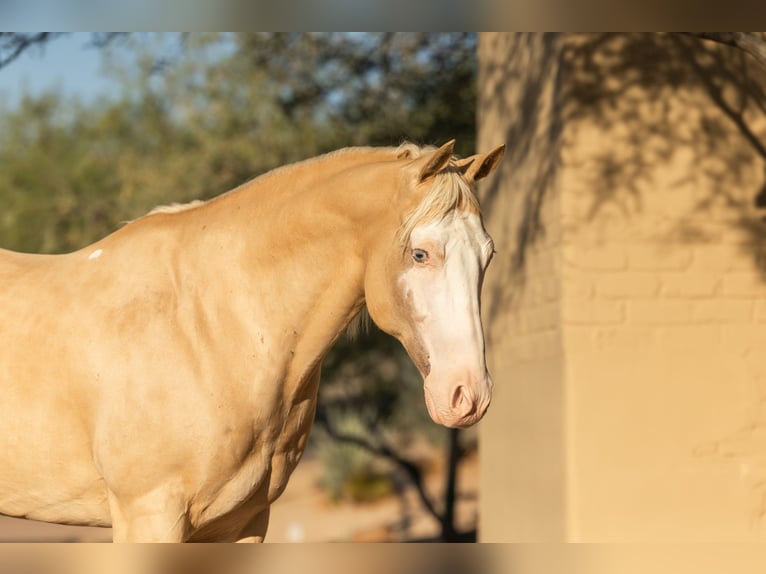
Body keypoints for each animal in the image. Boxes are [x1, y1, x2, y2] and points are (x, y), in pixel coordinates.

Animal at [0, 139, 504, 542]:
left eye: (488, 253)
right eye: (420, 254)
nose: (468, 395)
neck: (208, 324)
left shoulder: (243, 521)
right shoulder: (149, 515)